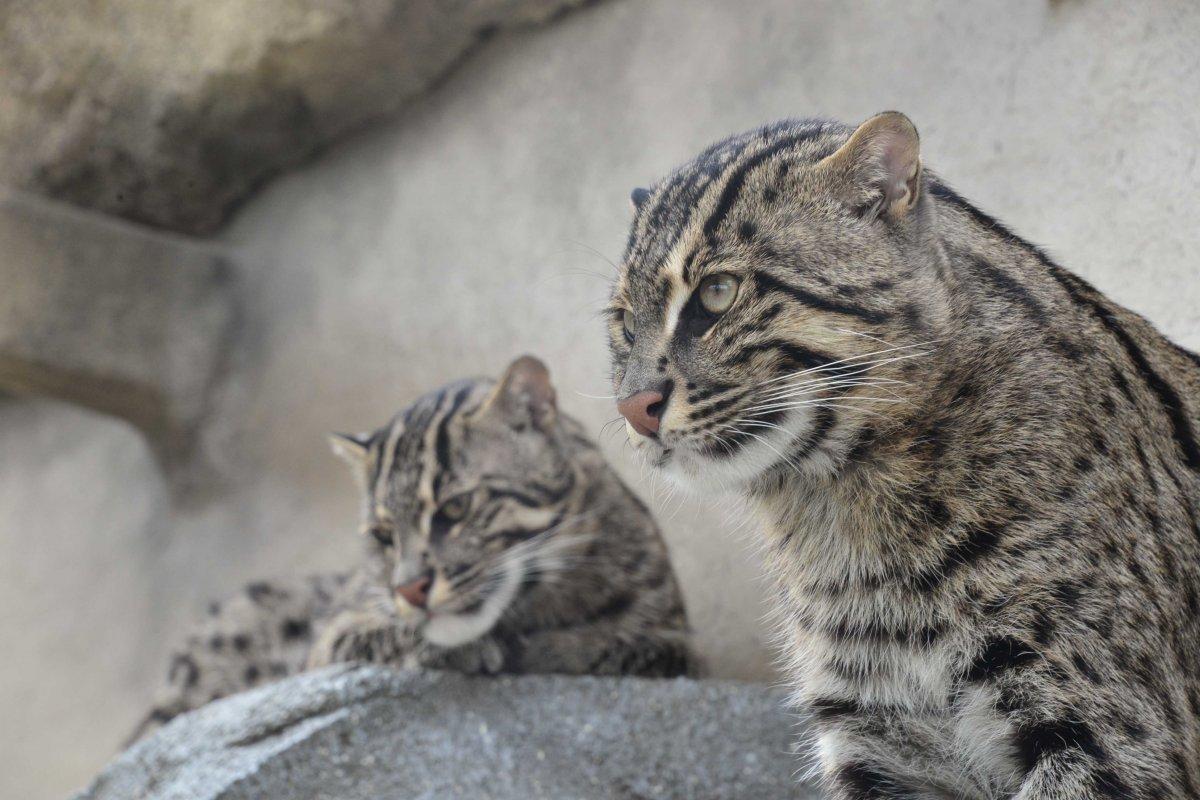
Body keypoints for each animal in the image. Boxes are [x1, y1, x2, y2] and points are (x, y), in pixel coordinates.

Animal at [131, 357, 691, 743]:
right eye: (383, 535)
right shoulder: (328, 639)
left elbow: (626, 647)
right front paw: (464, 648)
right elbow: (372, 636)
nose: (410, 589)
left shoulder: (675, 638)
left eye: (457, 507)